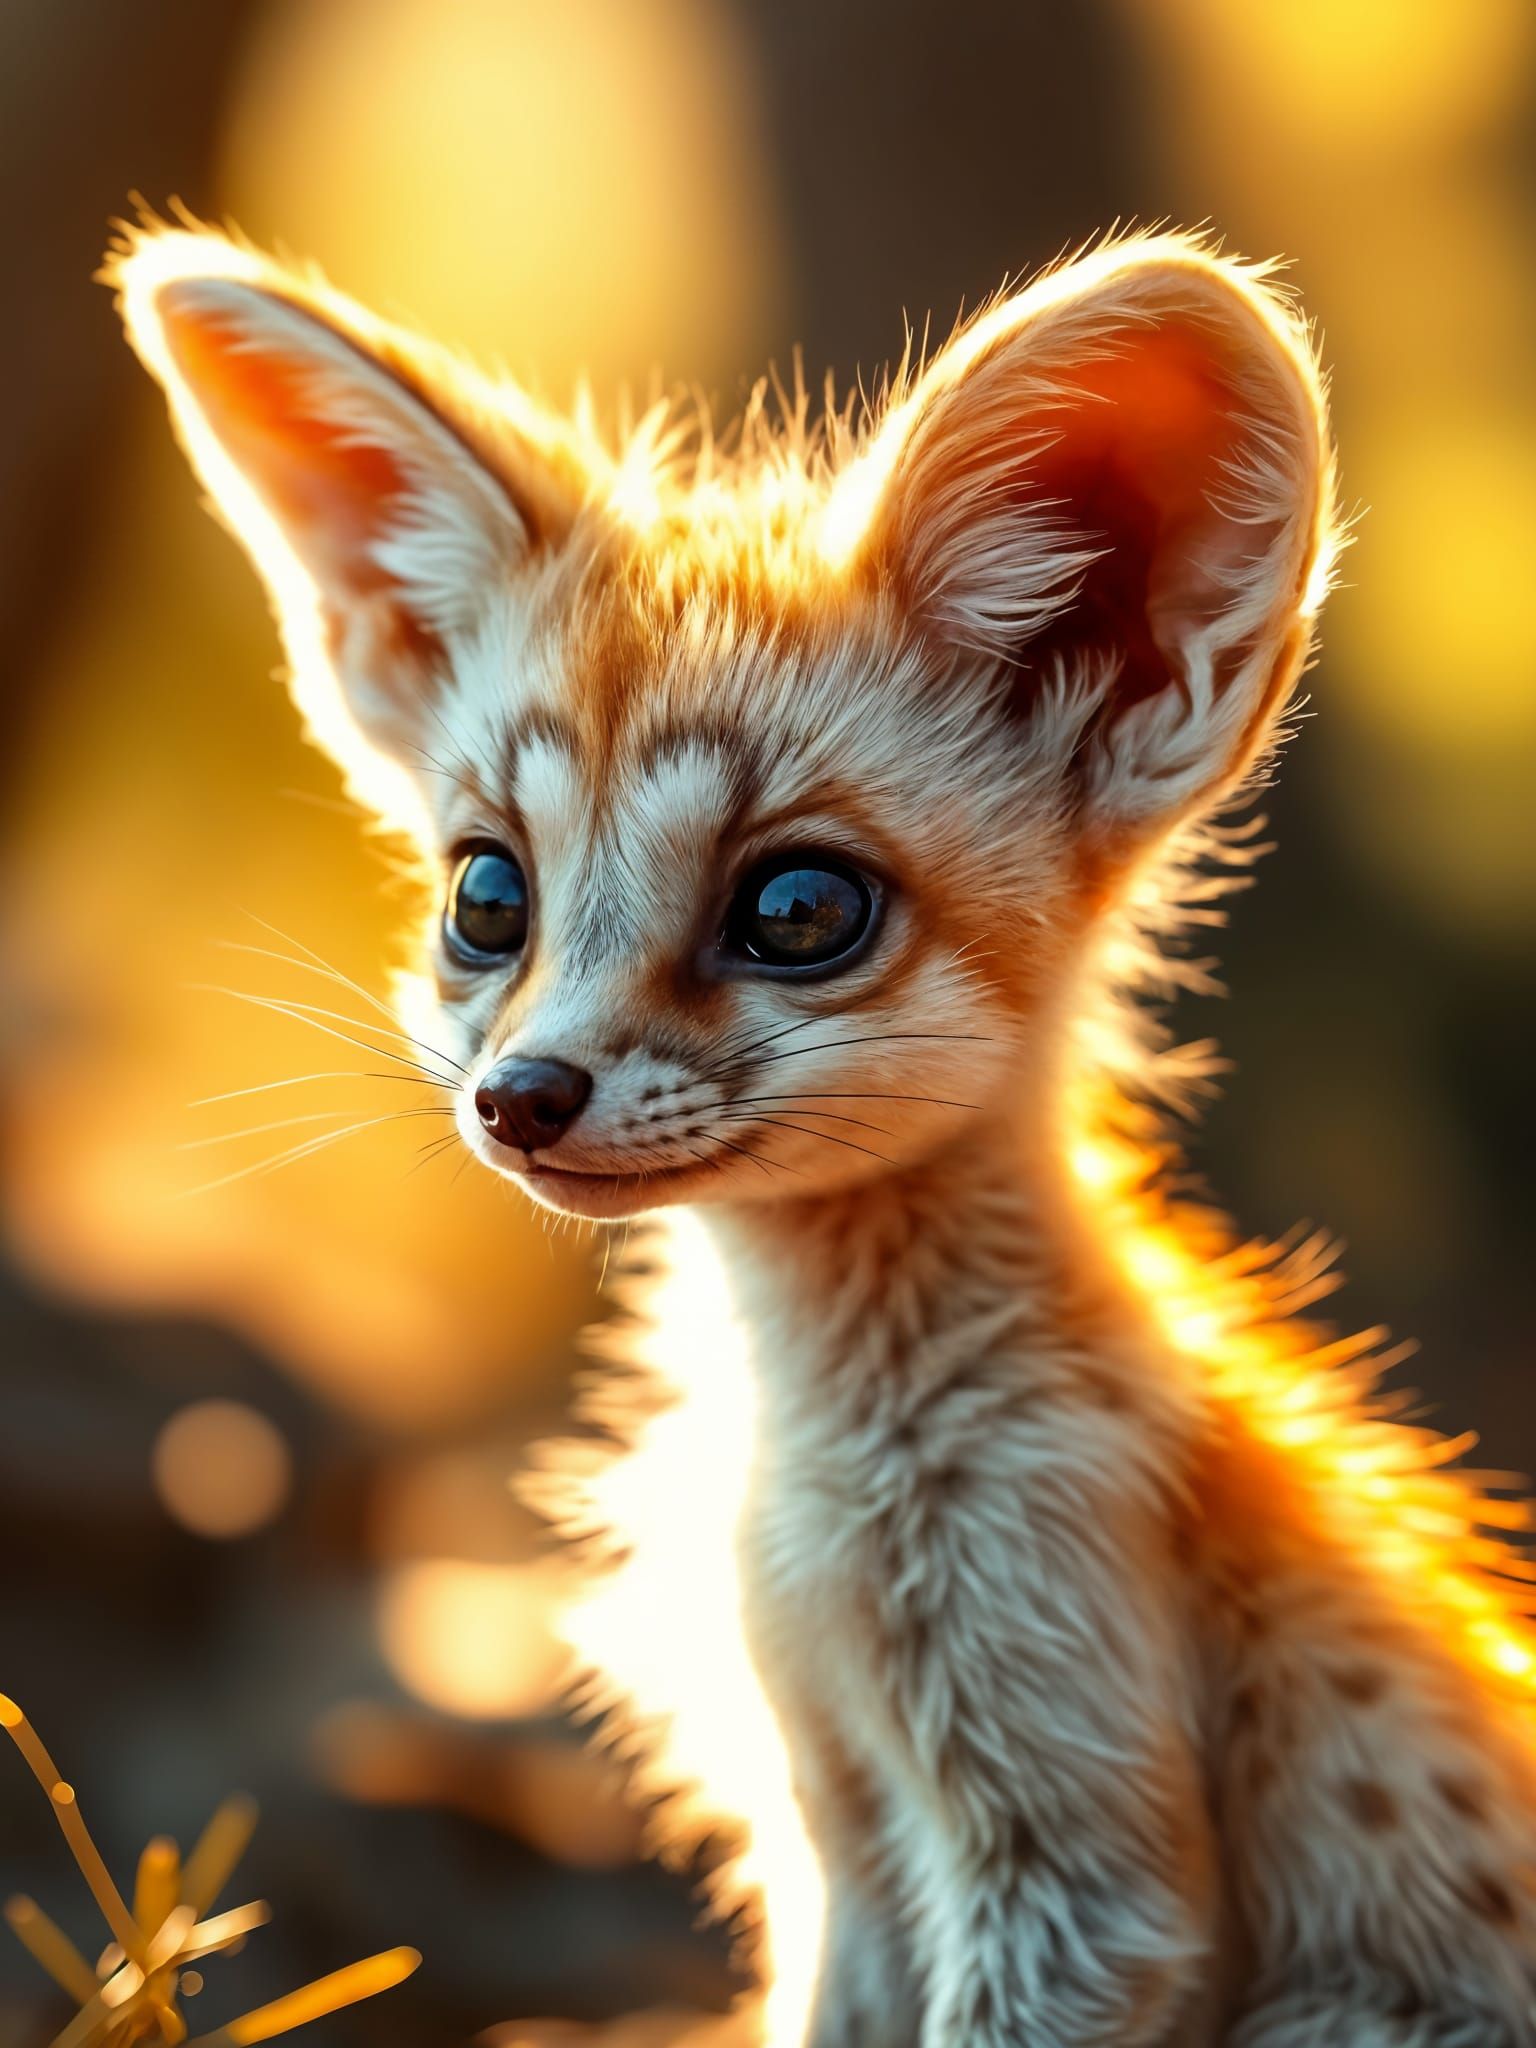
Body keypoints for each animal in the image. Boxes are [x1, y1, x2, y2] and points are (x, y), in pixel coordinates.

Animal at [110, 218, 1536, 2047]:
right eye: (486, 895)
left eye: (798, 908)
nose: (519, 1096)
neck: (802, 1481)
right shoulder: (825, 1833)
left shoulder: (1076, 1854)